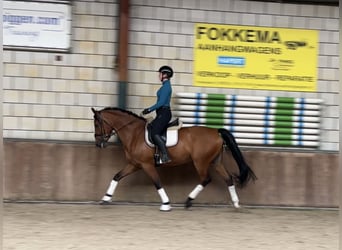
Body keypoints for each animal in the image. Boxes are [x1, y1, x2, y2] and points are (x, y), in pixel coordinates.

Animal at [91, 107, 256, 211]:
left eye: (97, 123)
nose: (98, 143)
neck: (134, 134)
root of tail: (216, 132)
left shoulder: (147, 165)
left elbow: (157, 183)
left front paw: (166, 204)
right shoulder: (134, 164)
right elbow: (116, 176)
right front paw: (106, 198)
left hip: (200, 162)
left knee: (206, 179)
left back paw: (188, 201)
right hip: (216, 162)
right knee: (228, 179)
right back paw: (236, 204)